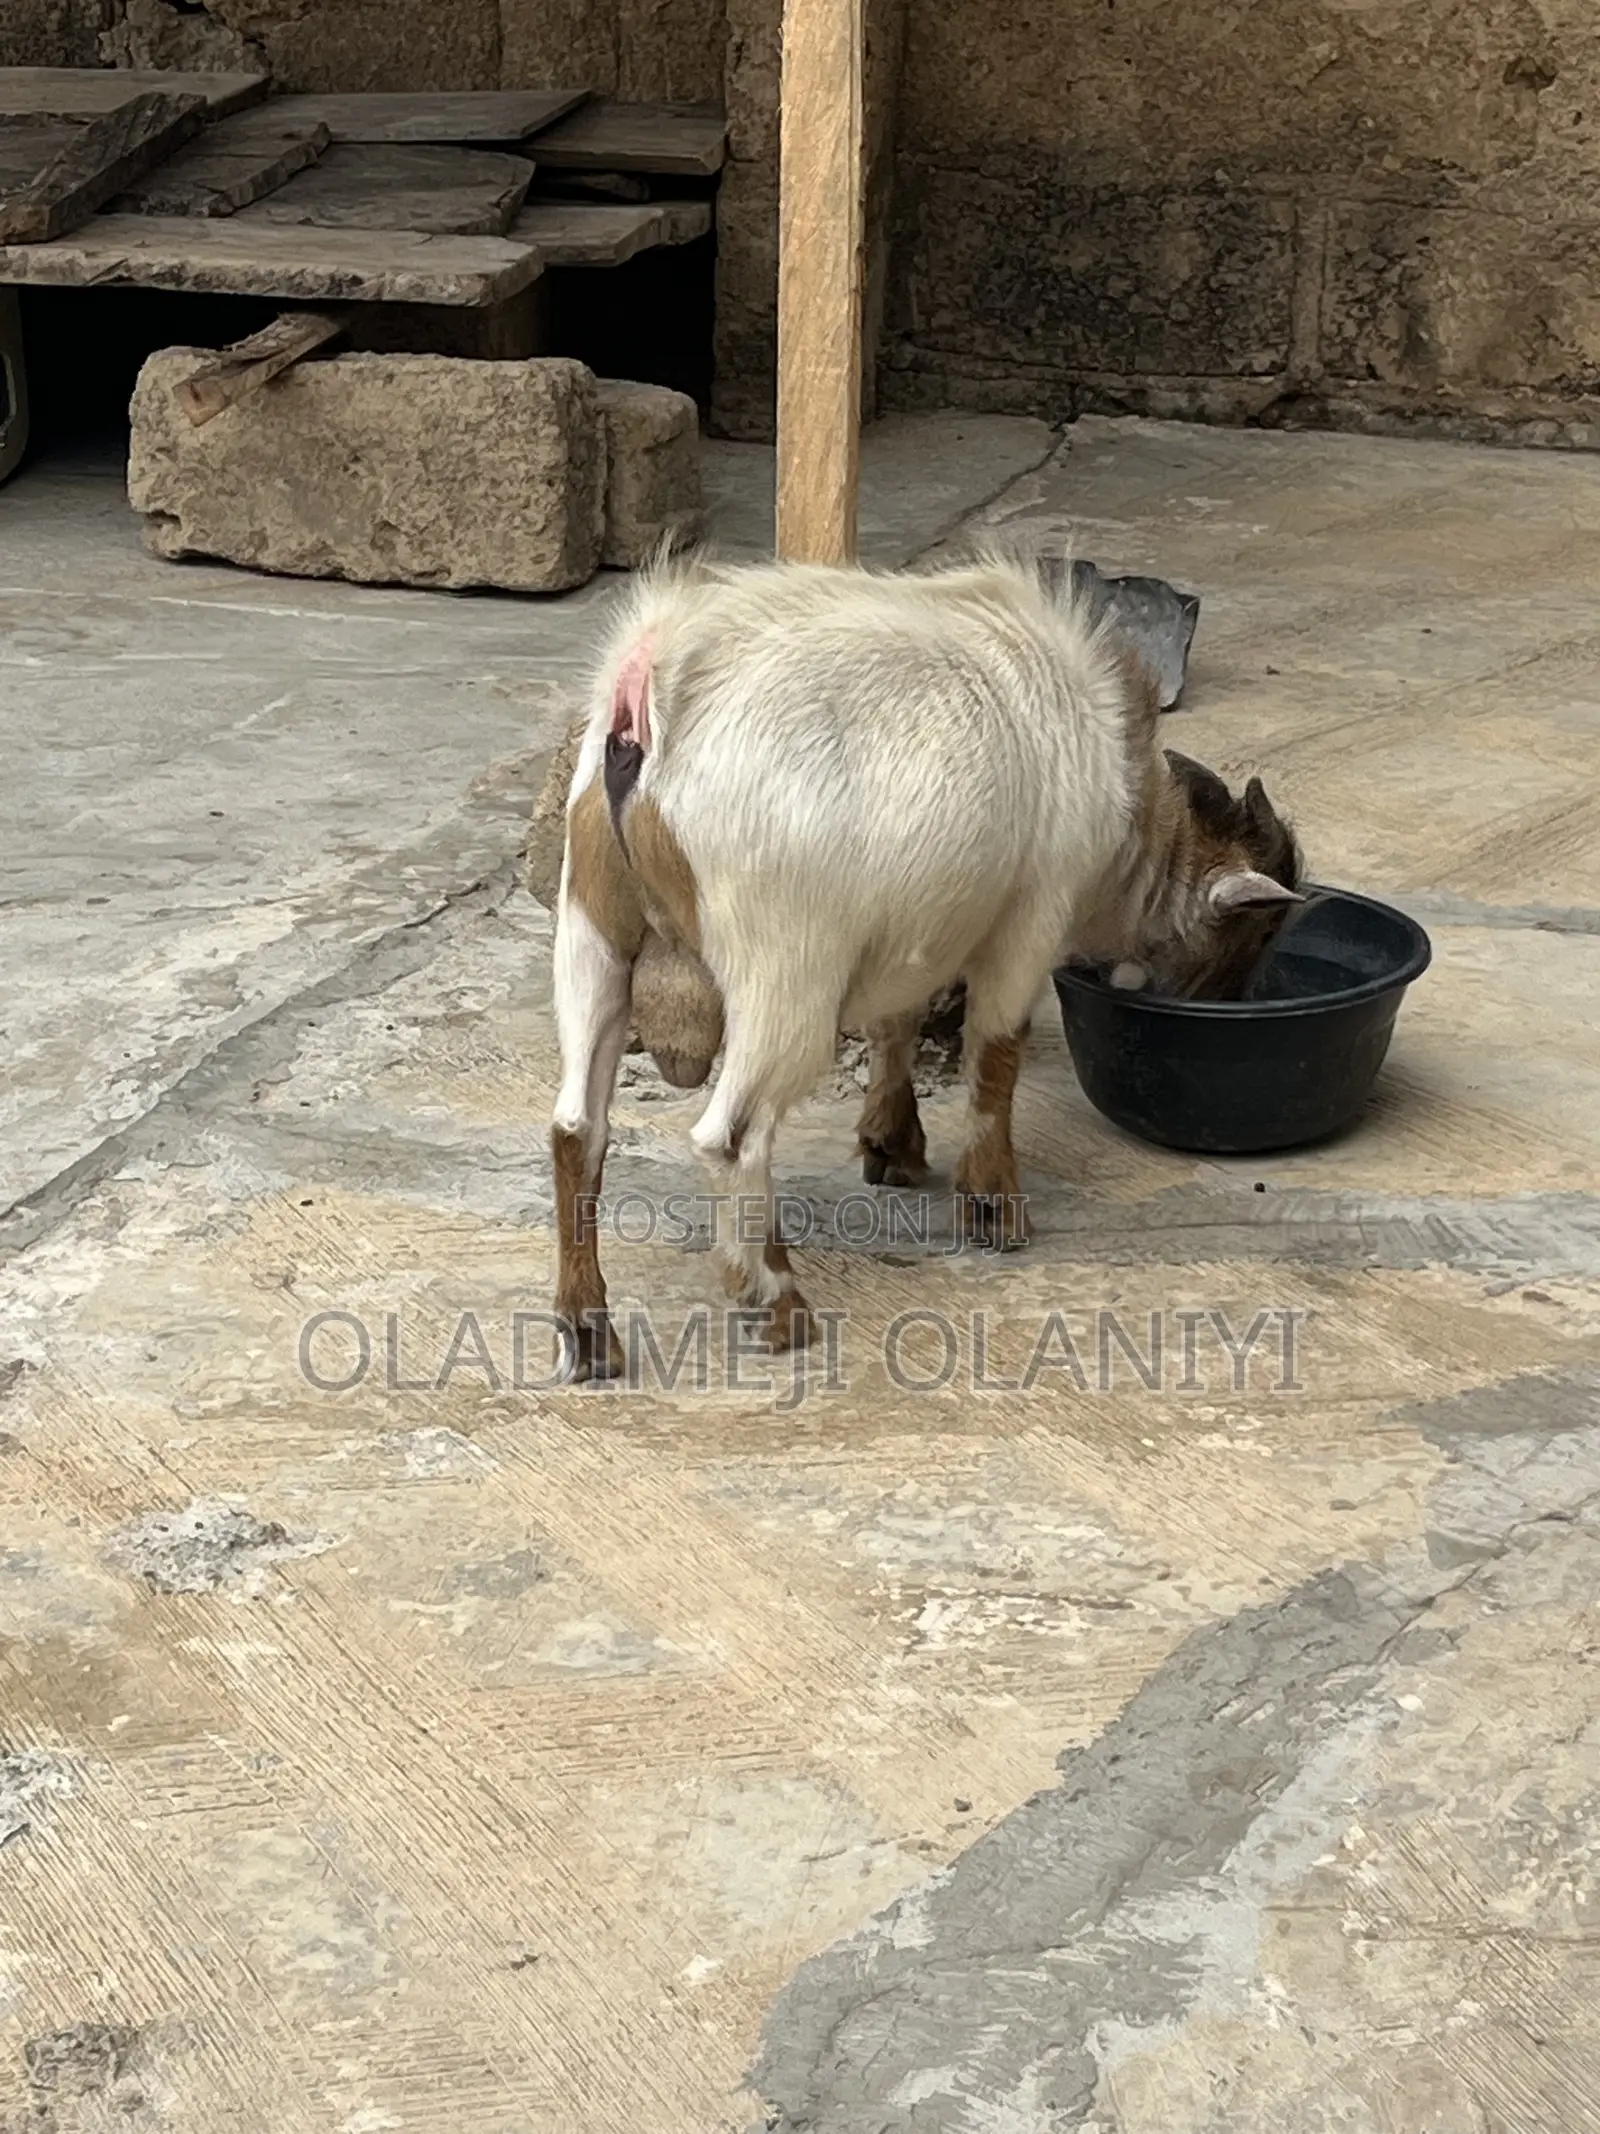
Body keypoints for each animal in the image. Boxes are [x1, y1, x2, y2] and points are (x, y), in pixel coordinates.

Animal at [548, 549, 1304, 1382]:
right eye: (1256, 932)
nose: (1236, 1001)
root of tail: (647, 693)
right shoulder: (1030, 918)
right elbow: (997, 1051)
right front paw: (994, 1204)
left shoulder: (912, 925)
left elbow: (895, 1024)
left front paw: (892, 1144)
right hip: (783, 967)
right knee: (731, 1137)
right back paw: (776, 1303)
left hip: (590, 932)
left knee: (577, 1127)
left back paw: (589, 1332)